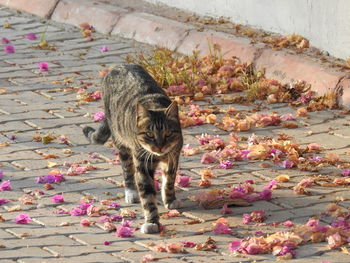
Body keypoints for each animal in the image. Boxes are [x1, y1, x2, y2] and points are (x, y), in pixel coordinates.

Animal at [83, 65, 185, 234]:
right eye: (149, 134)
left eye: (168, 133)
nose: (159, 146)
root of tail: (117, 66)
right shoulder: (143, 164)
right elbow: (147, 195)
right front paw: (152, 222)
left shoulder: (173, 157)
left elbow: (169, 180)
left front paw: (170, 199)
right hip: (122, 143)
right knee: (127, 170)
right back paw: (131, 191)